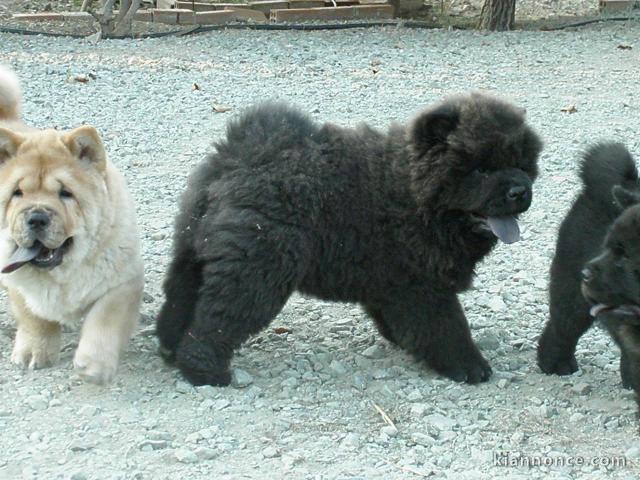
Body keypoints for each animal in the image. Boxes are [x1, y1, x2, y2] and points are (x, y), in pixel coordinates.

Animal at [0, 65, 144, 384]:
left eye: (65, 193)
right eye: (18, 193)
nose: (37, 216)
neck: (63, 273)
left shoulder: (123, 282)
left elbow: (105, 319)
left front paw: (94, 364)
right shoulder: (18, 281)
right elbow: (34, 317)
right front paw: (34, 351)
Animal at [158, 93, 544, 386]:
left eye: (521, 164)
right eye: (481, 170)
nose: (520, 190)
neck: (413, 194)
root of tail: (239, 159)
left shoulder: (393, 283)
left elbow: (401, 319)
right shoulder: (424, 286)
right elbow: (448, 328)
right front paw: (469, 366)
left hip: (194, 249)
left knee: (182, 297)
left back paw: (169, 346)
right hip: (259, 268)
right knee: (217, 320)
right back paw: (204, 370)